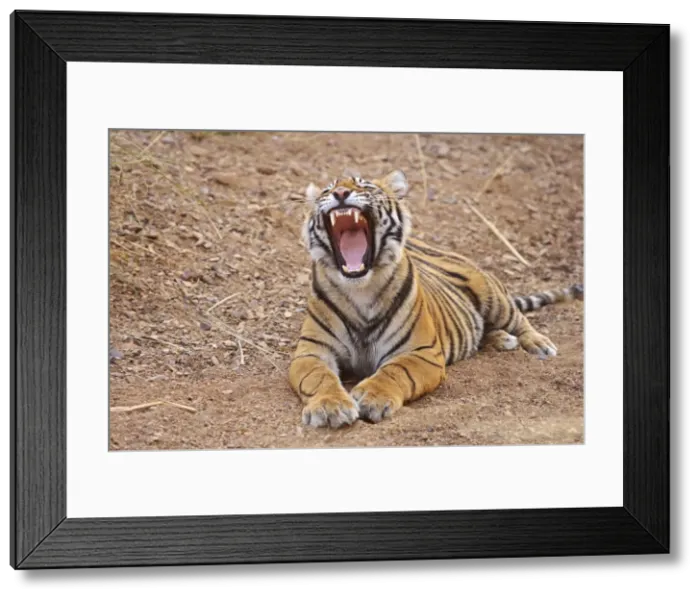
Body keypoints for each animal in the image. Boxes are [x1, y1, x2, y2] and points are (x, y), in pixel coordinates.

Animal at [289, 169, 583, 428]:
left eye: (365, 185)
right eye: (327, 190)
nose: (340, 193)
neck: (360, 288)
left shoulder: (422, 352)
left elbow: (395, 371)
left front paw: (373, 397)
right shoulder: (311, 351)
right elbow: (319, 377)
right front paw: (330, 407)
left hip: (493, 296)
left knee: (519, 319)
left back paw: (538, 343)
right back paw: (502, 339)